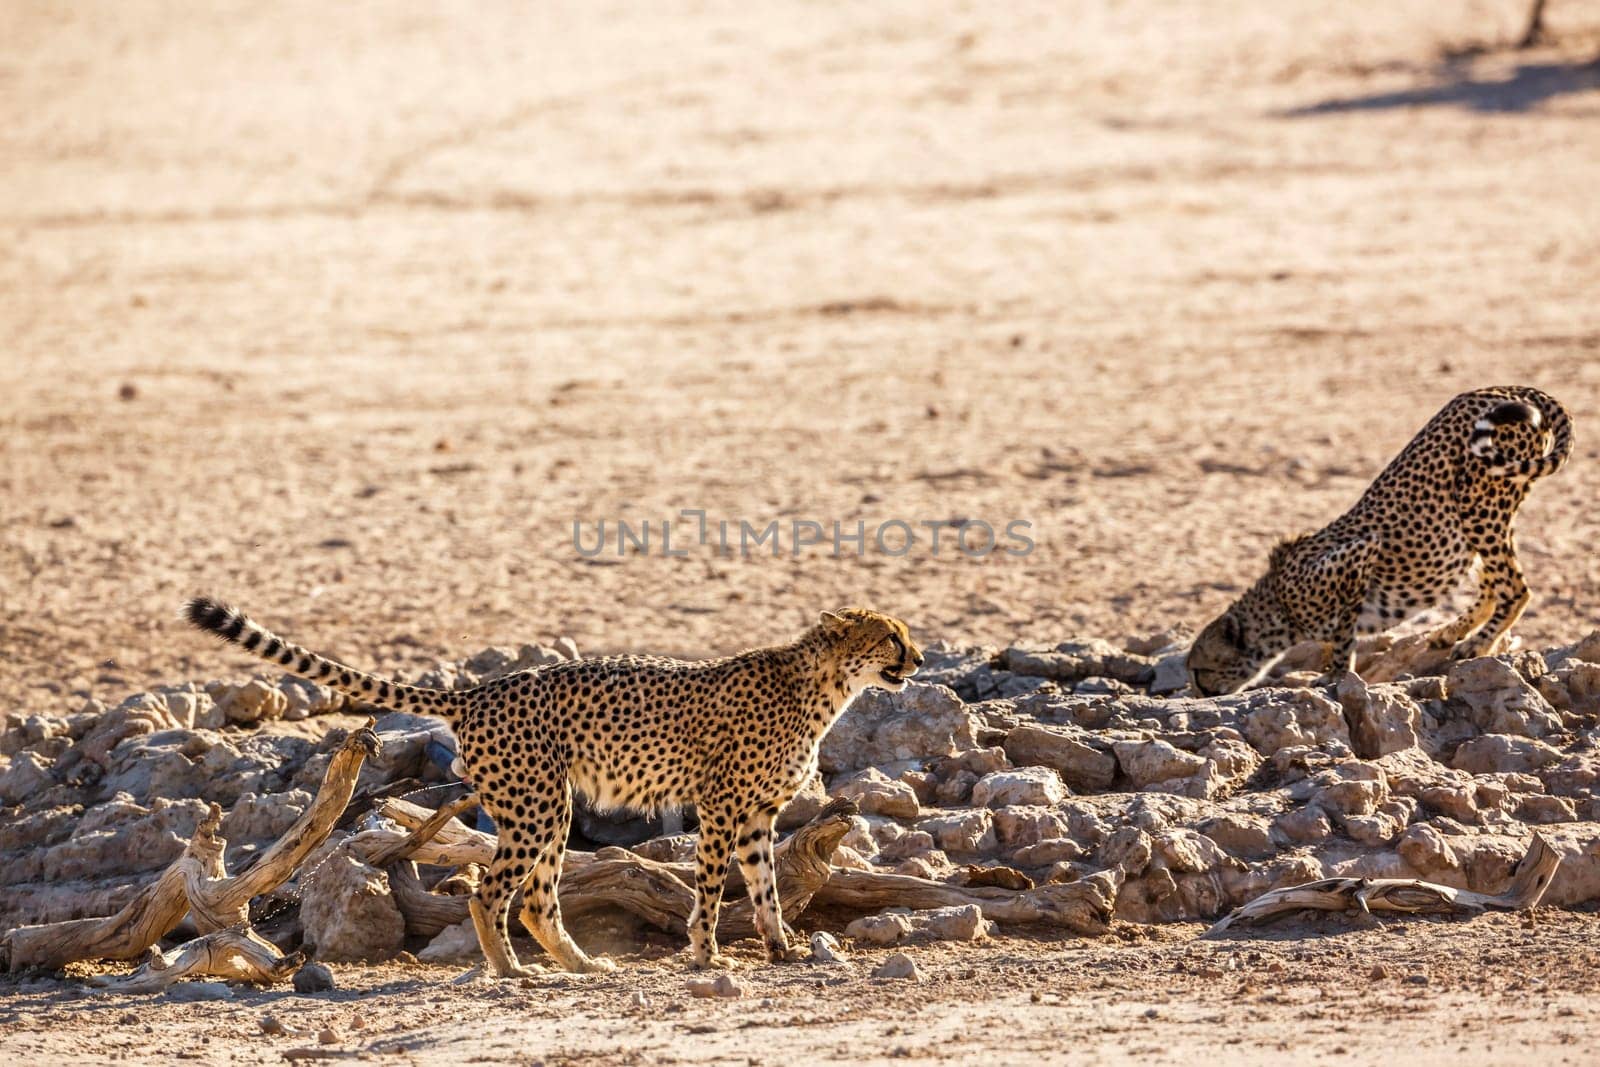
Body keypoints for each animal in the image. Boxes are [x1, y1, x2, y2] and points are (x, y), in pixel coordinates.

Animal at [184, 601, 928, 979]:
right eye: (890, 636)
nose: (919, 659)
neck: (824, 686)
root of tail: (478, 690)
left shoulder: (755, 816)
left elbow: (766, 886)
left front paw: (780, 948)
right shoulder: (720, 807)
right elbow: (714, 887)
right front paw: (705, 952)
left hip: (550, 805)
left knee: (538, 899)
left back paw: (579, 962)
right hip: (539, 803)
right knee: (490, 891)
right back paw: (514, 971)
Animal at [1190, 388, 1574, 697]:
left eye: (1200, 669)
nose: (1198, 692)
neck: (1278, 607)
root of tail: (1505, 388)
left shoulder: (1358, 554)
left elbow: (1343, 635)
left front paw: (1334, 674)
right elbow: (1335, 638)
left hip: (1480, 503)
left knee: (1516, 588)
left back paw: (1476, 644)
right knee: (1493, 583)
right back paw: (1450, 633)